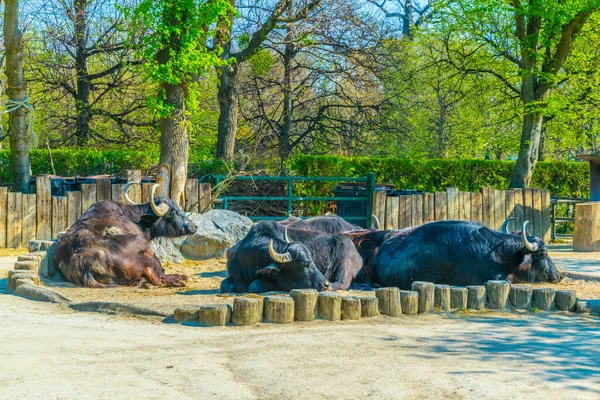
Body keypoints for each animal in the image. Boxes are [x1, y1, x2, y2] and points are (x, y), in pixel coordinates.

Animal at [52, 184, 196, 288]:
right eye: (172, 212)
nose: (194, 226)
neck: (137, 219)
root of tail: (82, 262)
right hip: (148, 256)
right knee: (157, 279)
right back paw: (180, 280)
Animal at [220, 220, 360, 292]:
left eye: (312, 261)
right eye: (305, 263)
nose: (324, 284)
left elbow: (255, 286)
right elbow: (224, 285)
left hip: (344, 266)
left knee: (342, 283)